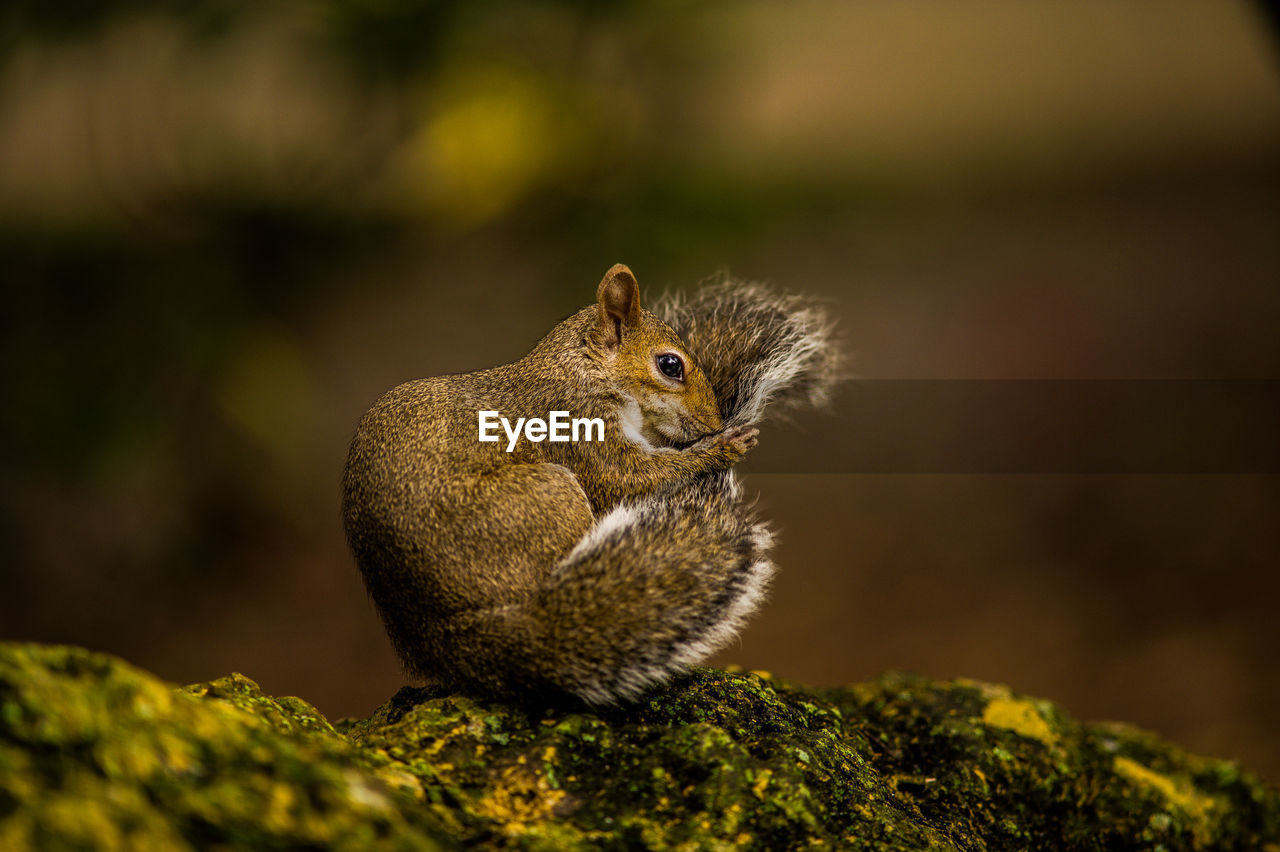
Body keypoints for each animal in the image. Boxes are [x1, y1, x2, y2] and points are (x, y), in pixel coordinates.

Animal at [340, 262, 839, 701]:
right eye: (670, 365)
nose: (713, 423)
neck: (579, 368)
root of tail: (449, 637)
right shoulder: (580, 427)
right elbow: (626, 480)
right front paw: (721, 447)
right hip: (548, 496)